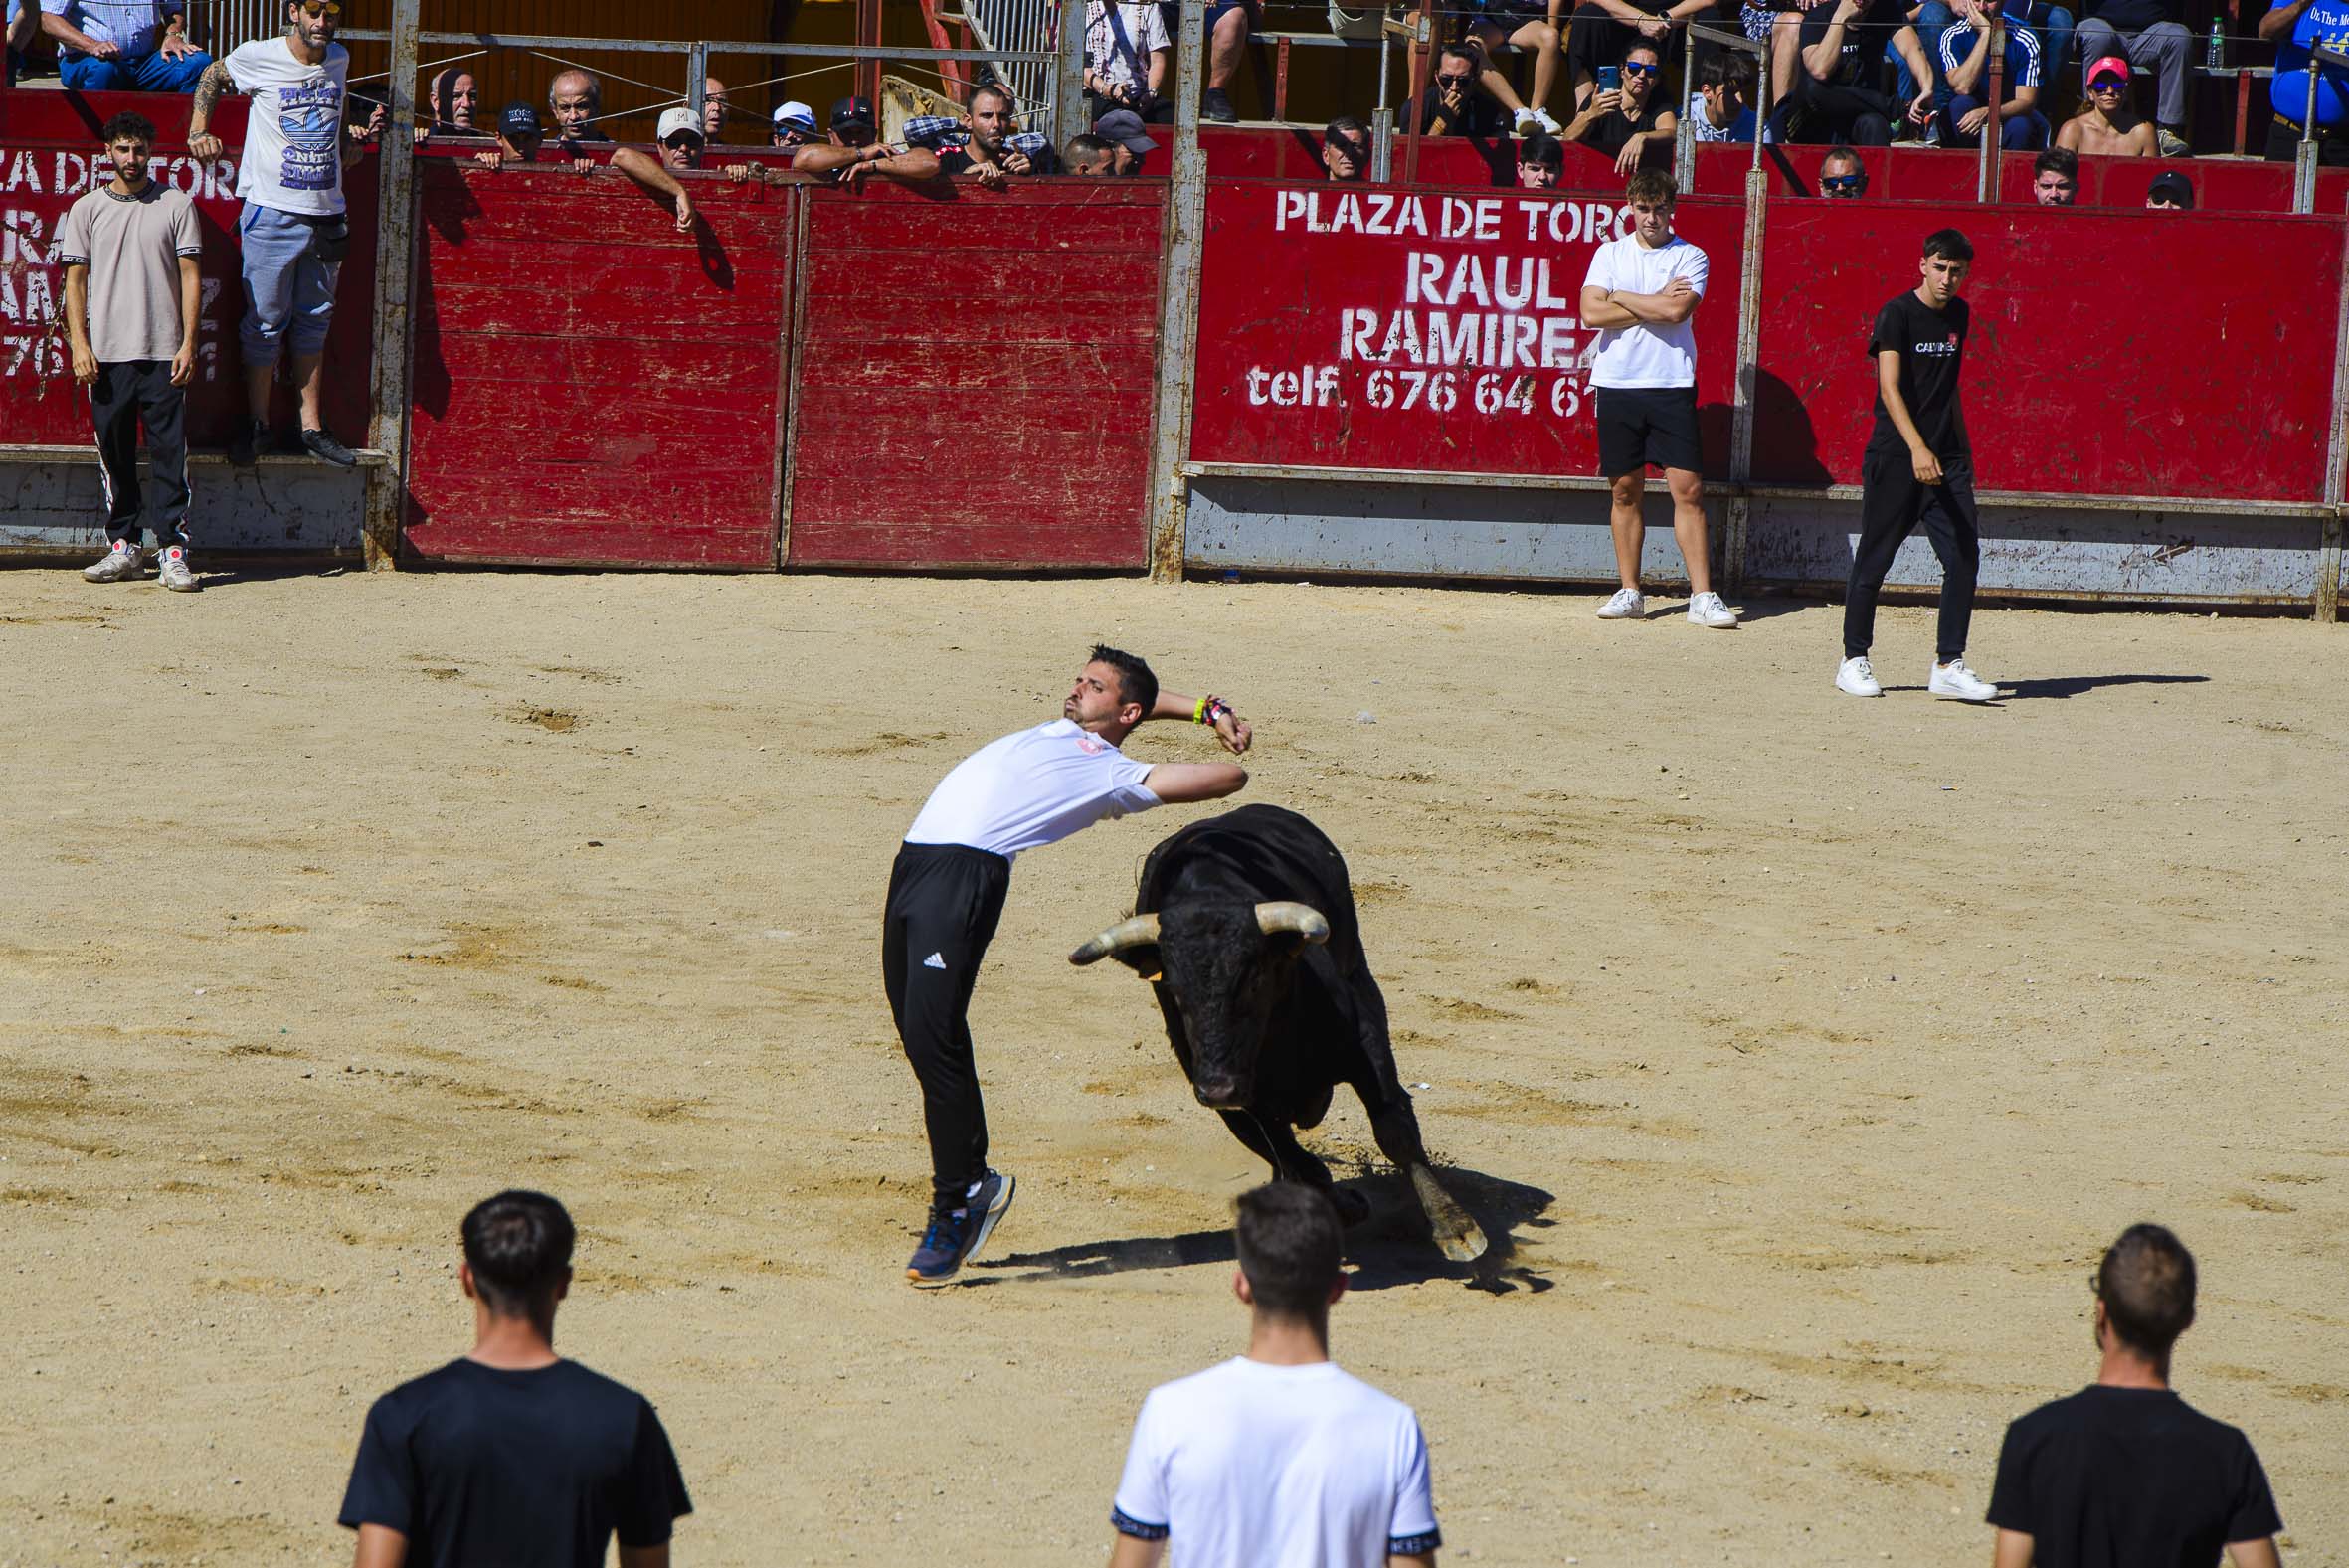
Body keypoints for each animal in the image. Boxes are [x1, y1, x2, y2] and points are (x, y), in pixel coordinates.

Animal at [1071, 807, 1484, 1258]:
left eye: (1253, 980)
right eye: (1175, 991)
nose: (1218, 1088)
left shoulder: (1365, 1044)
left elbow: (1394, 1128)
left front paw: (1457, 1227)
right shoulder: (1234, 1097)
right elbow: (1291, 1155)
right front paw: (1343, 1206)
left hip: (1358, 970)